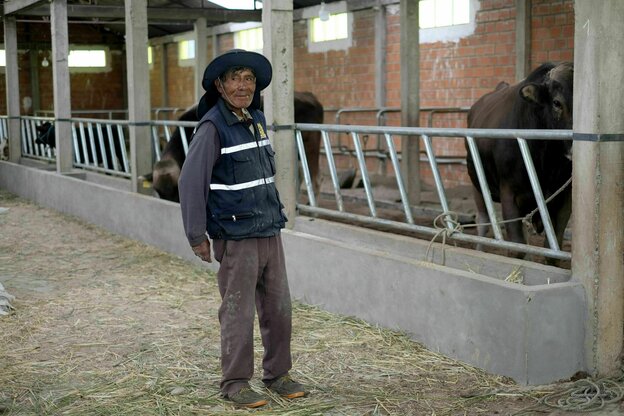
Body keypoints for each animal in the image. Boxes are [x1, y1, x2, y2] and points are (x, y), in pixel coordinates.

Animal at [466, 61, 572, 256]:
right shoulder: (510, 193)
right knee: (483, 220)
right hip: (477, 183)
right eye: (557, 103)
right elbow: (517, 247)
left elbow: (553, 247)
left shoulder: (563, 198)